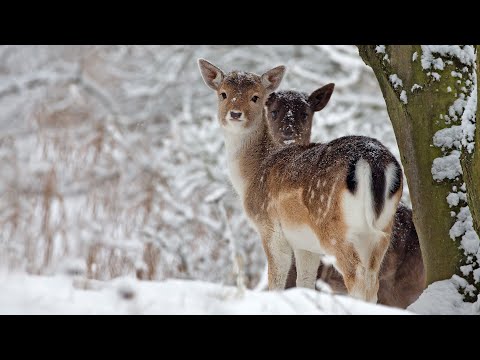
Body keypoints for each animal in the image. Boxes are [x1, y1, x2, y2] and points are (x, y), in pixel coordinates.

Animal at [199, 59, 404, 304]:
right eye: (223, 94)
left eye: (255, 97)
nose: (235, 113)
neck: (251, 176)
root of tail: (374, 162)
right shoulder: (306, 244)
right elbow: (305, 281)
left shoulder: (271, 228)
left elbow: (276, 280)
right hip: (382, 230)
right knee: (373, 282)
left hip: (335, 229)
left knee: (357, 277)